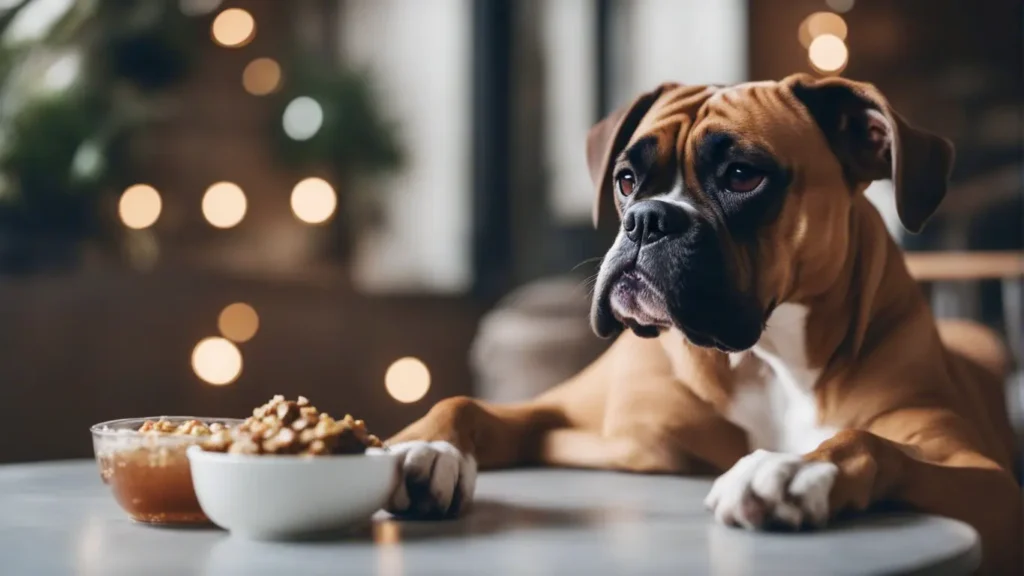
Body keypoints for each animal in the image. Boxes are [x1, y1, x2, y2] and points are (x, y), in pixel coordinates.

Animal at [380, 73, 1019, 569]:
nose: (646, 219)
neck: (767, 359)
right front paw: (419, 448)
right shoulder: (568, 422)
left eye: (742, 175)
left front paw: (792, 469)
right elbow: (466, 404)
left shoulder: (982, 477)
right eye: (626, 180)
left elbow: (869, 442)